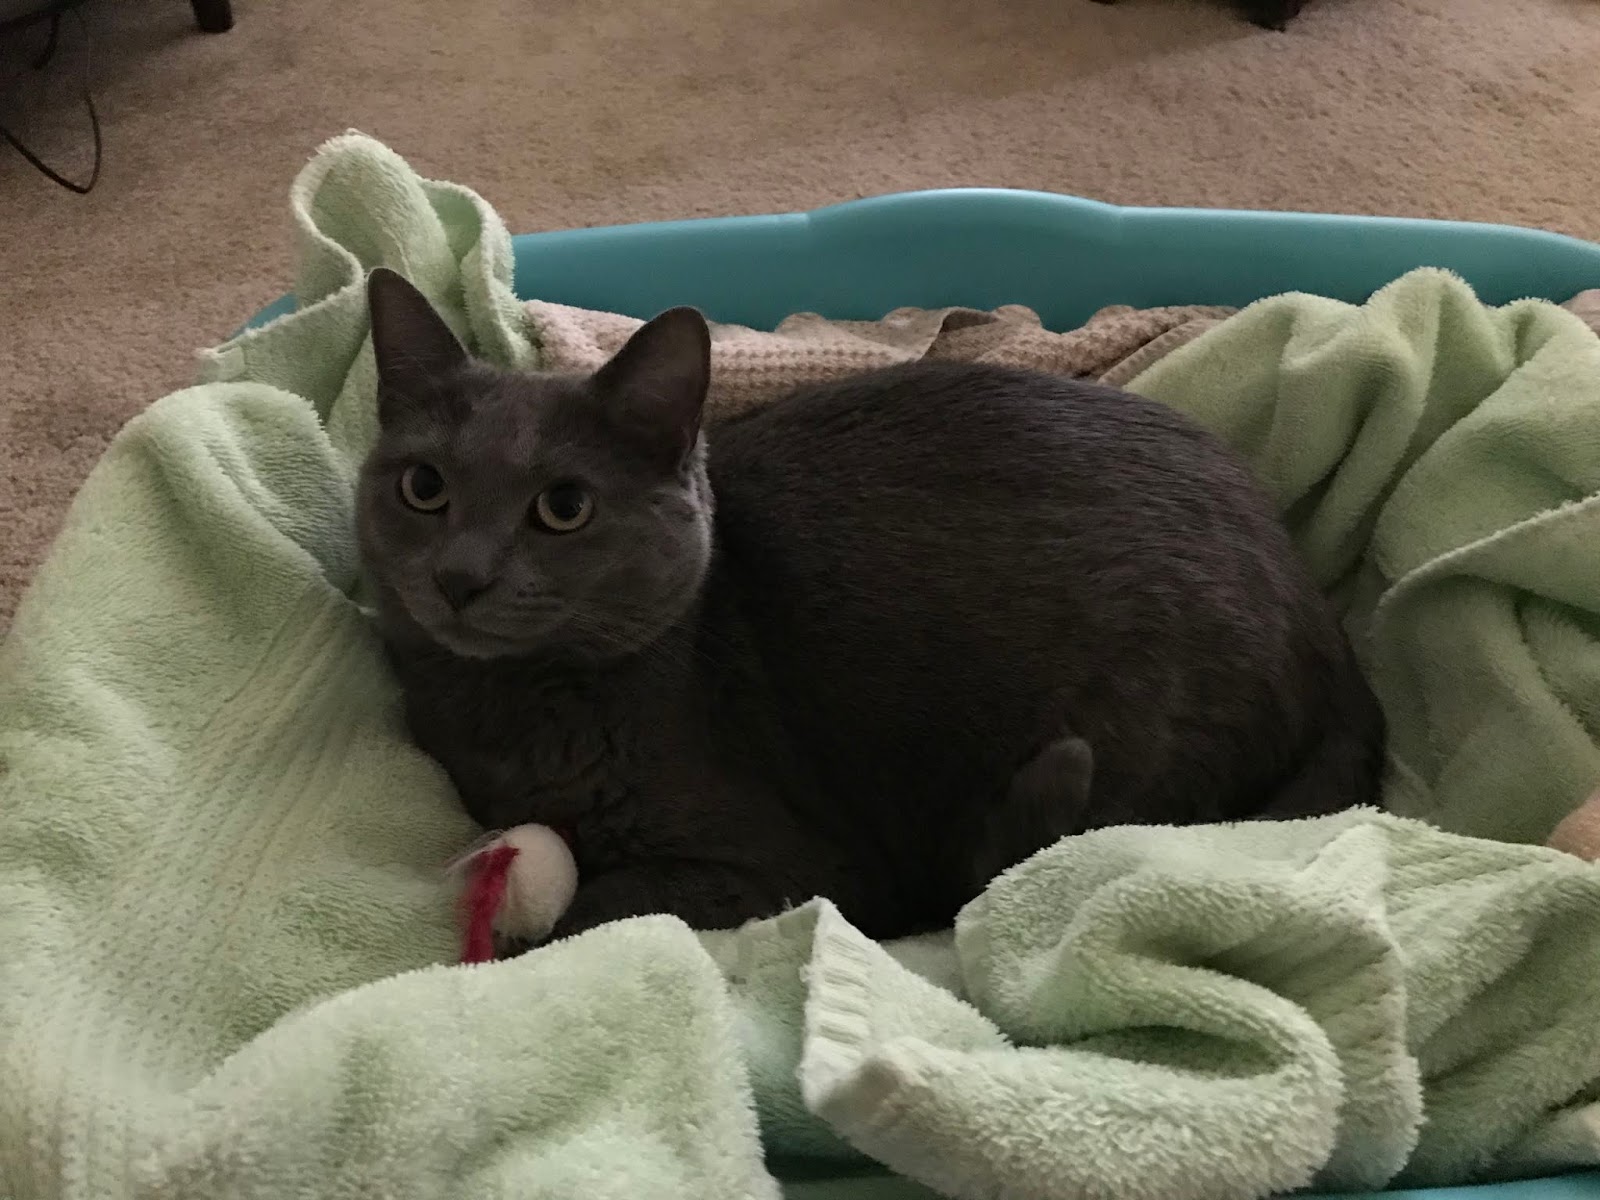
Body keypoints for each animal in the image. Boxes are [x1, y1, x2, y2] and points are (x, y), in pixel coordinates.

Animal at [357, 268, 1385, 944]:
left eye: (563, 507)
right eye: (423, 487)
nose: (460, 576)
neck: (507, 717)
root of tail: (1331, 640)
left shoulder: (798, 870)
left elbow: (598, 907)